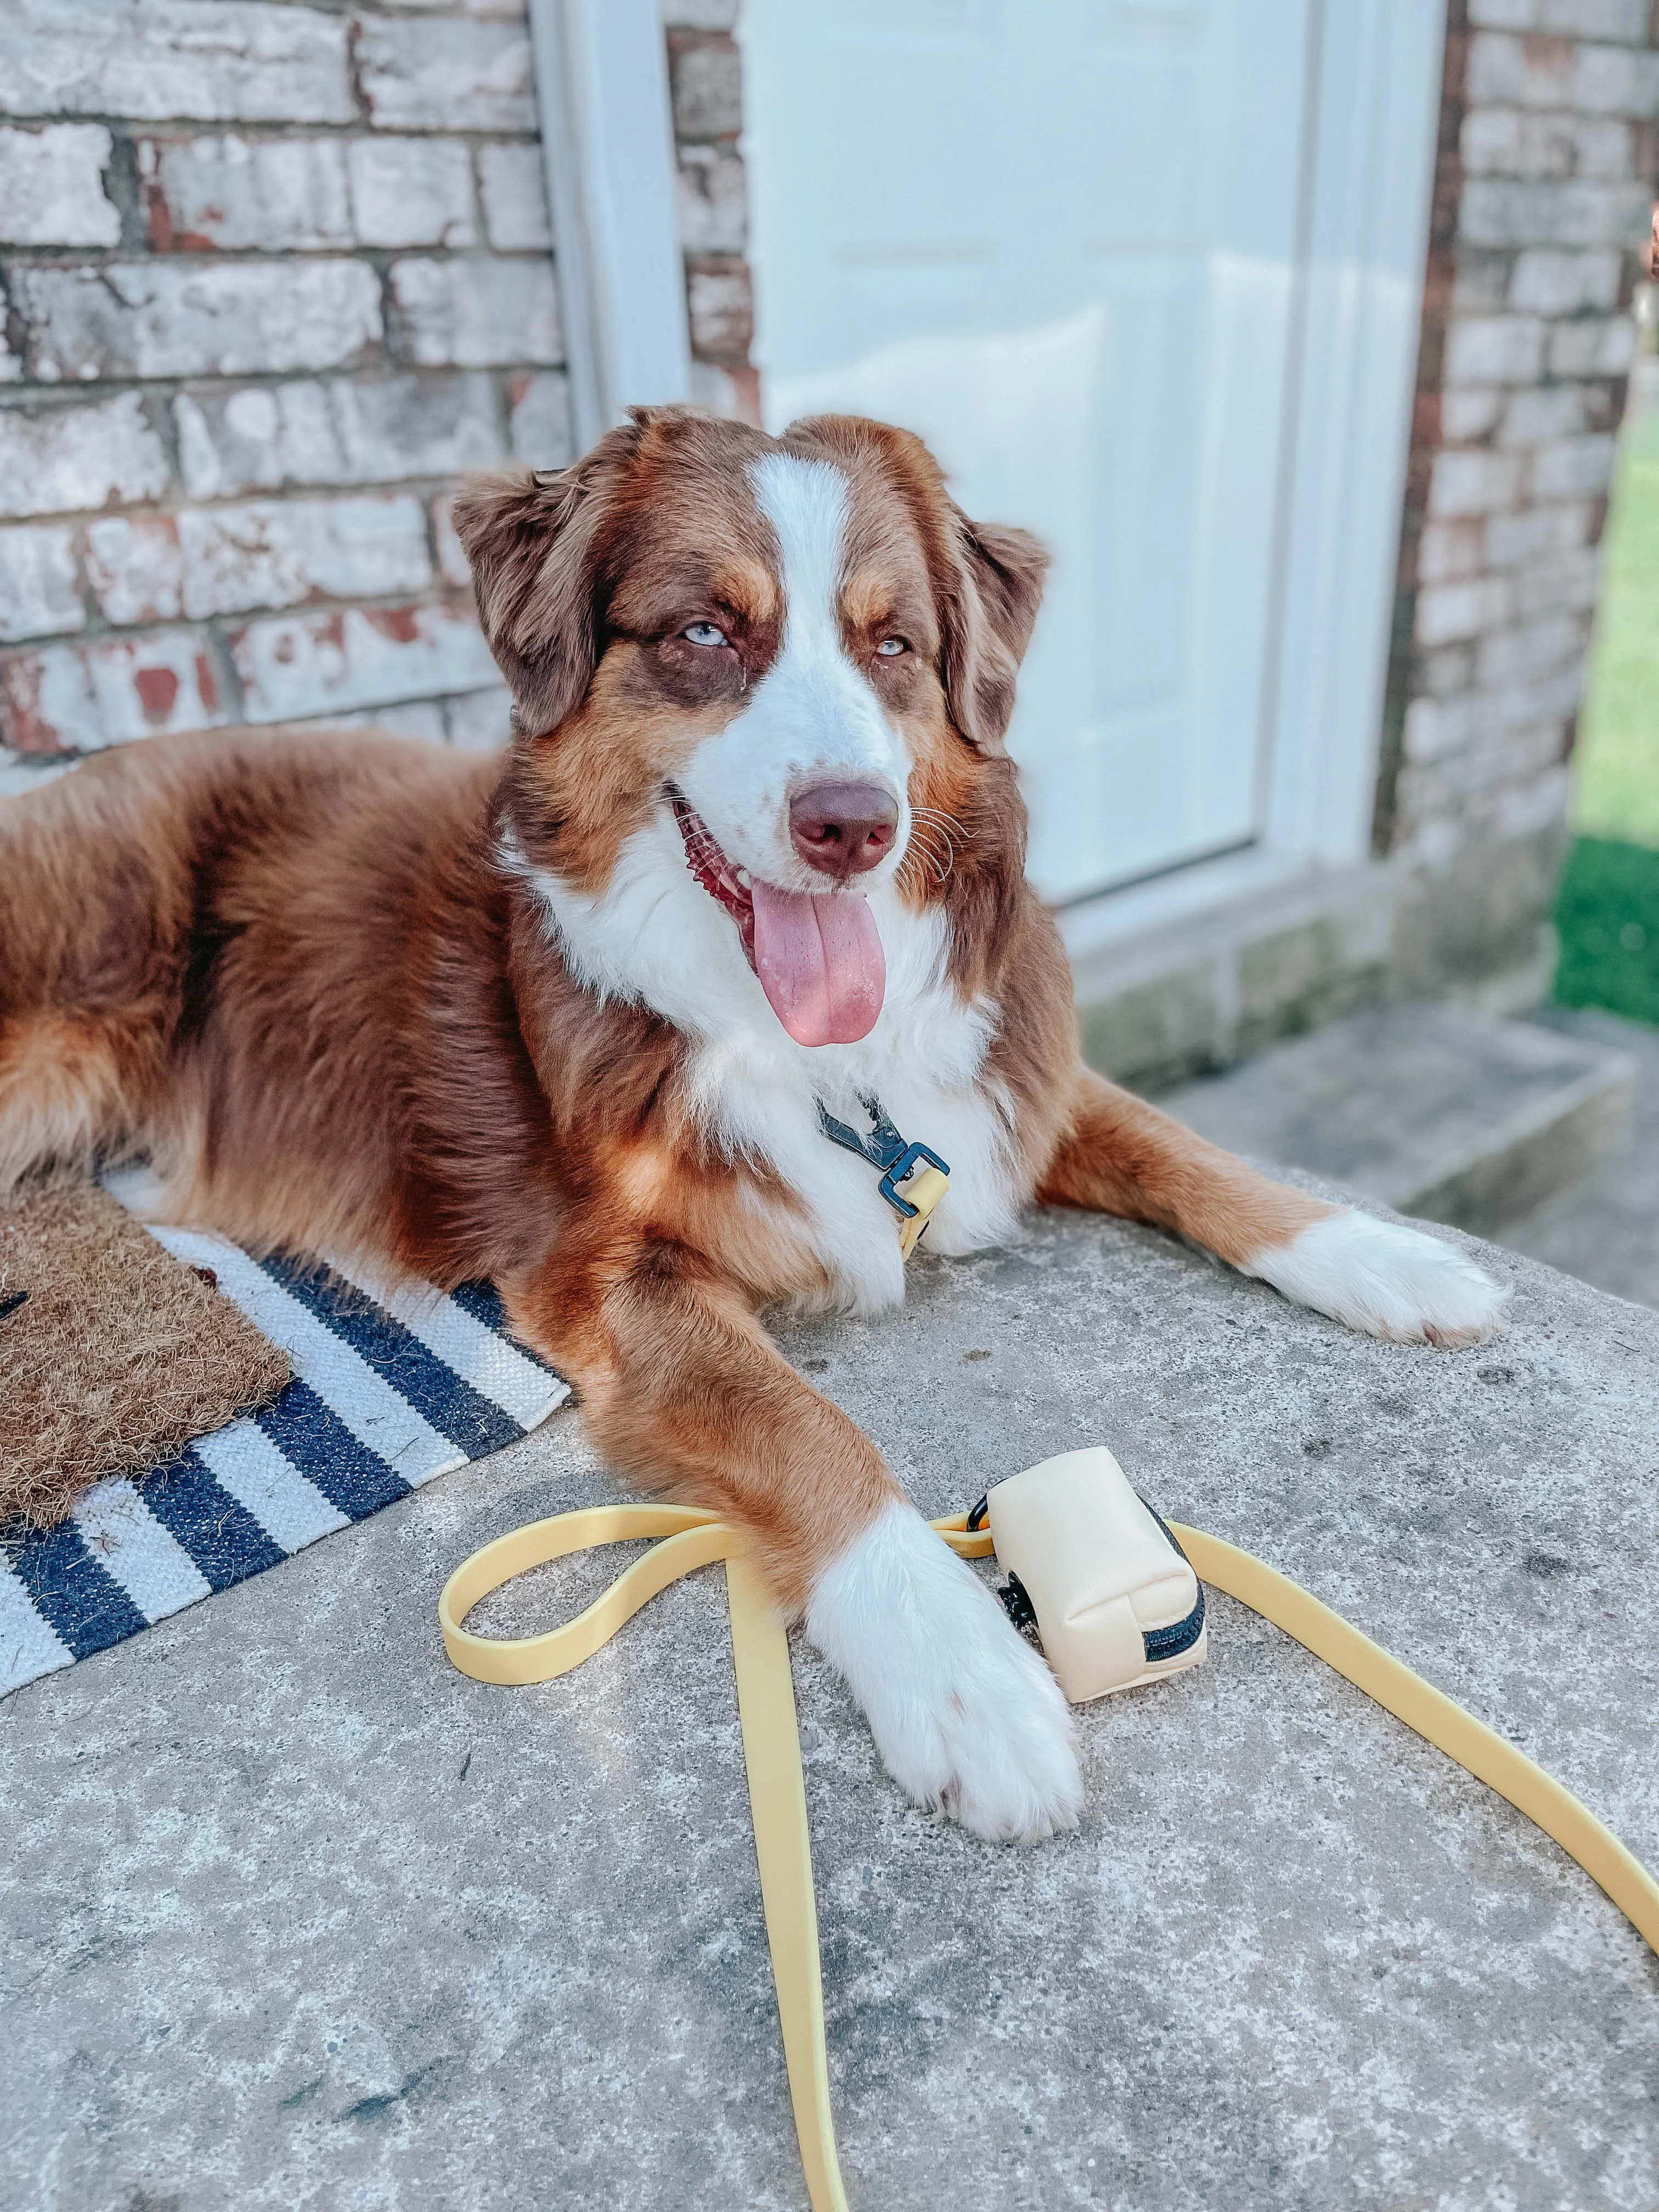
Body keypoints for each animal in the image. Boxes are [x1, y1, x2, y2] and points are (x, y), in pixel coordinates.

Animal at [0, 407, 1504, 1840]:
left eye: (895, 643)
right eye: (706, 633)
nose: (854, 825)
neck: (816, 1058)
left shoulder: (1006, 1085)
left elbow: (1192, 1155)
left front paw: (1383, 1257)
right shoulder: (609, 1271)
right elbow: (806, 1427)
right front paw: (956, 1670)